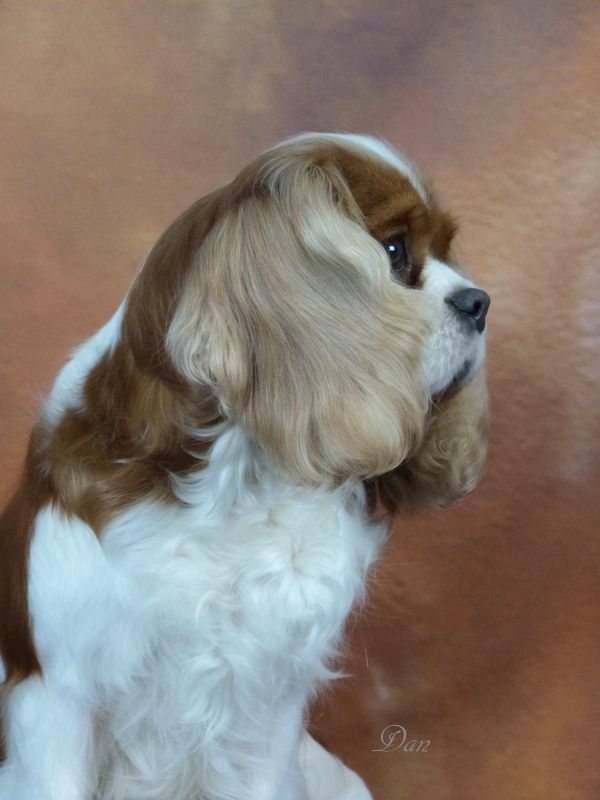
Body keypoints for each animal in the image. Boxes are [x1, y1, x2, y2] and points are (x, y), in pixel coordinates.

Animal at [0, 133, 489, 799]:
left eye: (446, 248)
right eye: (394, 251)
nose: (480, 302)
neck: (236, 483)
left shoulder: (268, 703)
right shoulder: (58, 699)